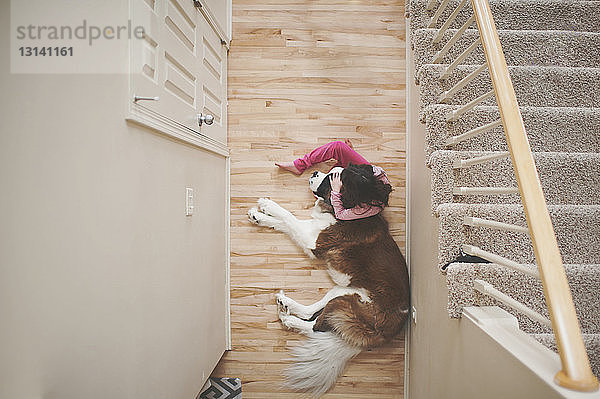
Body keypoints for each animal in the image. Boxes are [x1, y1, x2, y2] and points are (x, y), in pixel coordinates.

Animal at [246, 167, 410, 398]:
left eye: (330, 179)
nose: (314, 171)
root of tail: (390, 332)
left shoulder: (313, 240)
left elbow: (288, 217)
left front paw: (268, 206)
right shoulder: (311, 230)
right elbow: (284, 223)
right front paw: (260, 217)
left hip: (347, 306)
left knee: (315, 327)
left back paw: (289, 320)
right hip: (343, 292)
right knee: (310, 313)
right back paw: (286, 306)